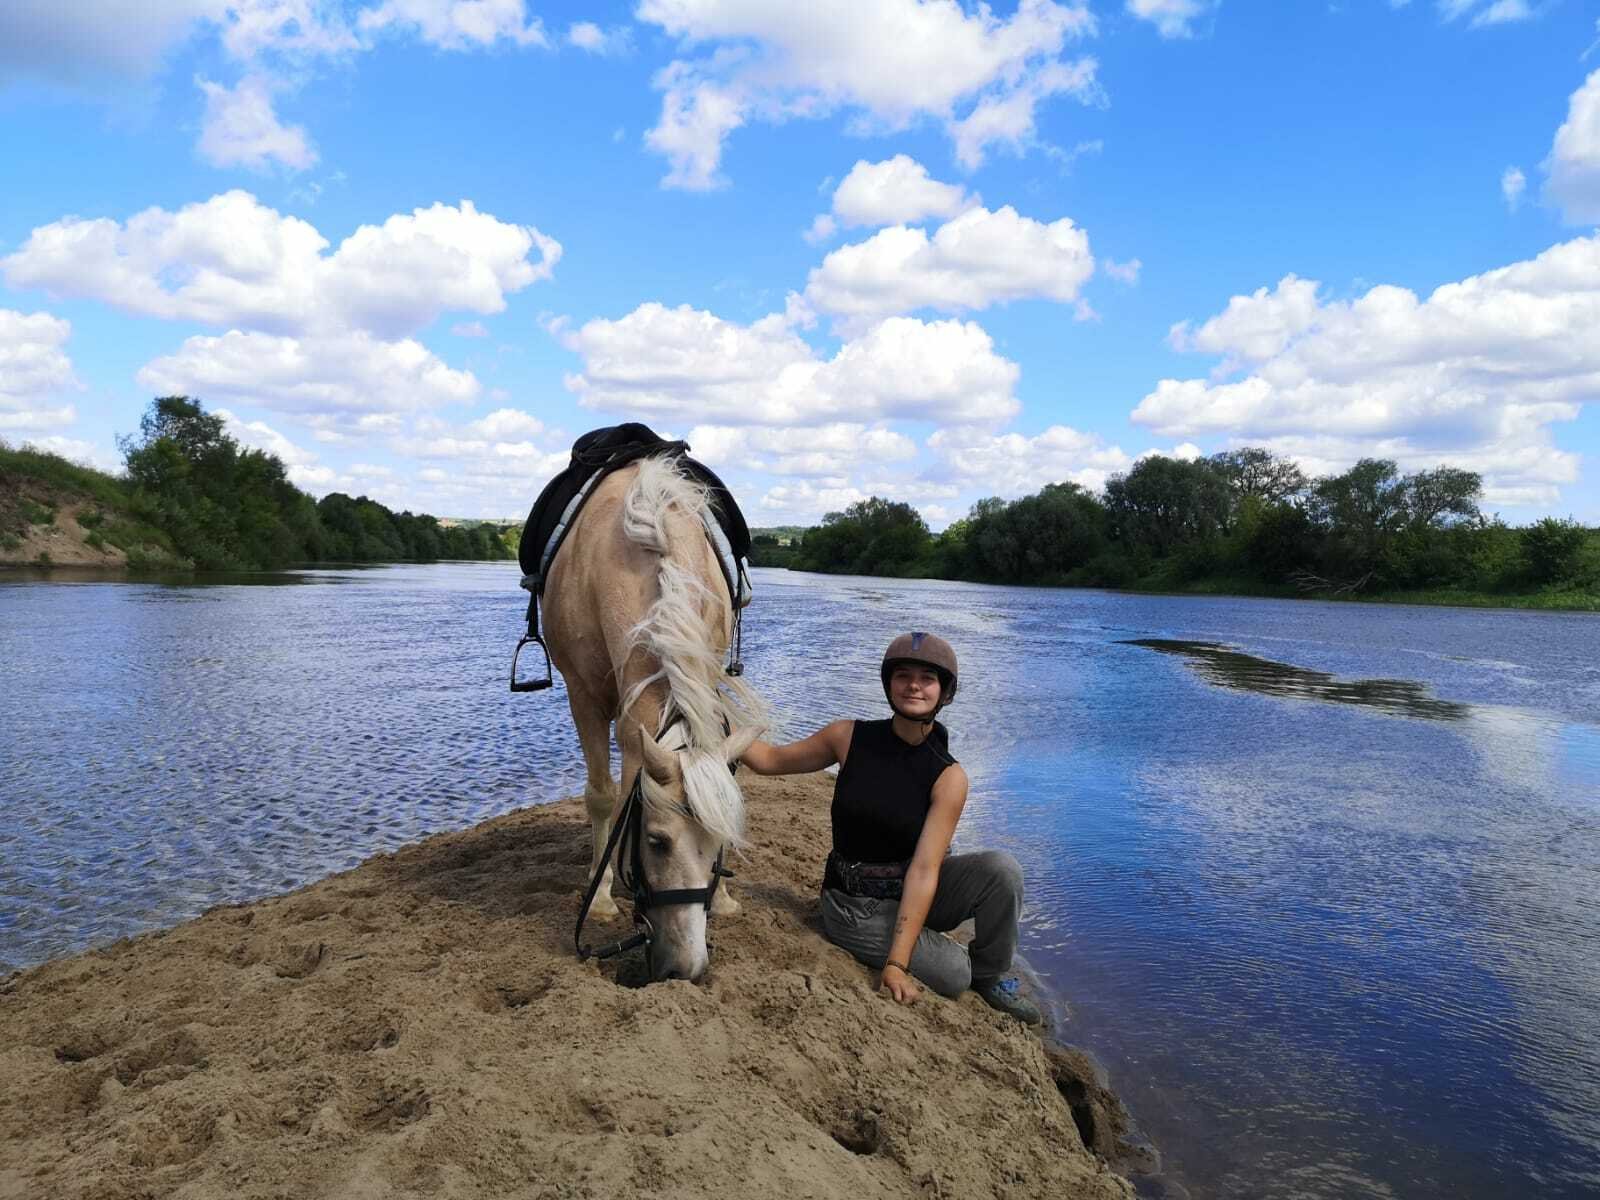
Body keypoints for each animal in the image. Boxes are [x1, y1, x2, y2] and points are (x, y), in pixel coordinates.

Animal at [544, 460, 768, 985]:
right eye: (656, 842)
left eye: (720, 846)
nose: (686, 969)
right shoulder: (583, 695)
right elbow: (603, 795)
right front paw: (602, 896)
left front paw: (723, 899)